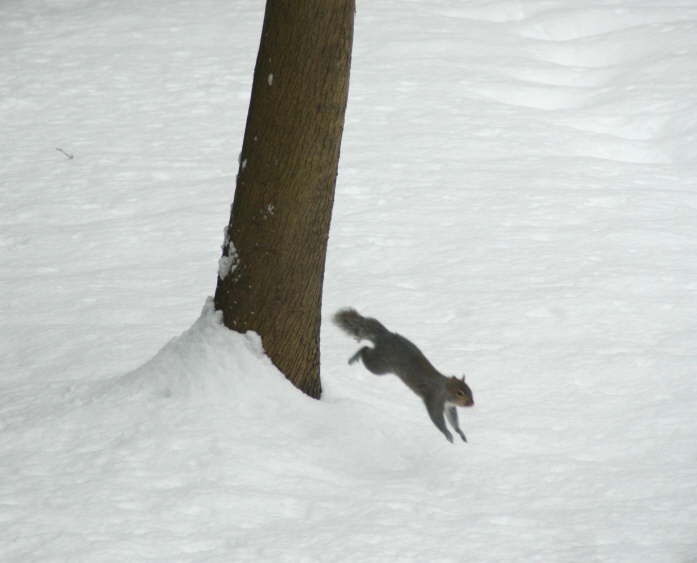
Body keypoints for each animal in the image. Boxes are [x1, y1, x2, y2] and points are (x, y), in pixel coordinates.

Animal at [333, 308, 474, 443]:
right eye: (459, 393)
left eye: (470, 391)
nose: (472, 403)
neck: (444, 389)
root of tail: (386, 335)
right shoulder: (434, 398)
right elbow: (437, 419)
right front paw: (448, 434)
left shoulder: (449, 407)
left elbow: (453, 420)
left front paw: (460, 432)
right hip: (379, 365)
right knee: (365, 350)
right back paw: (354, 357)